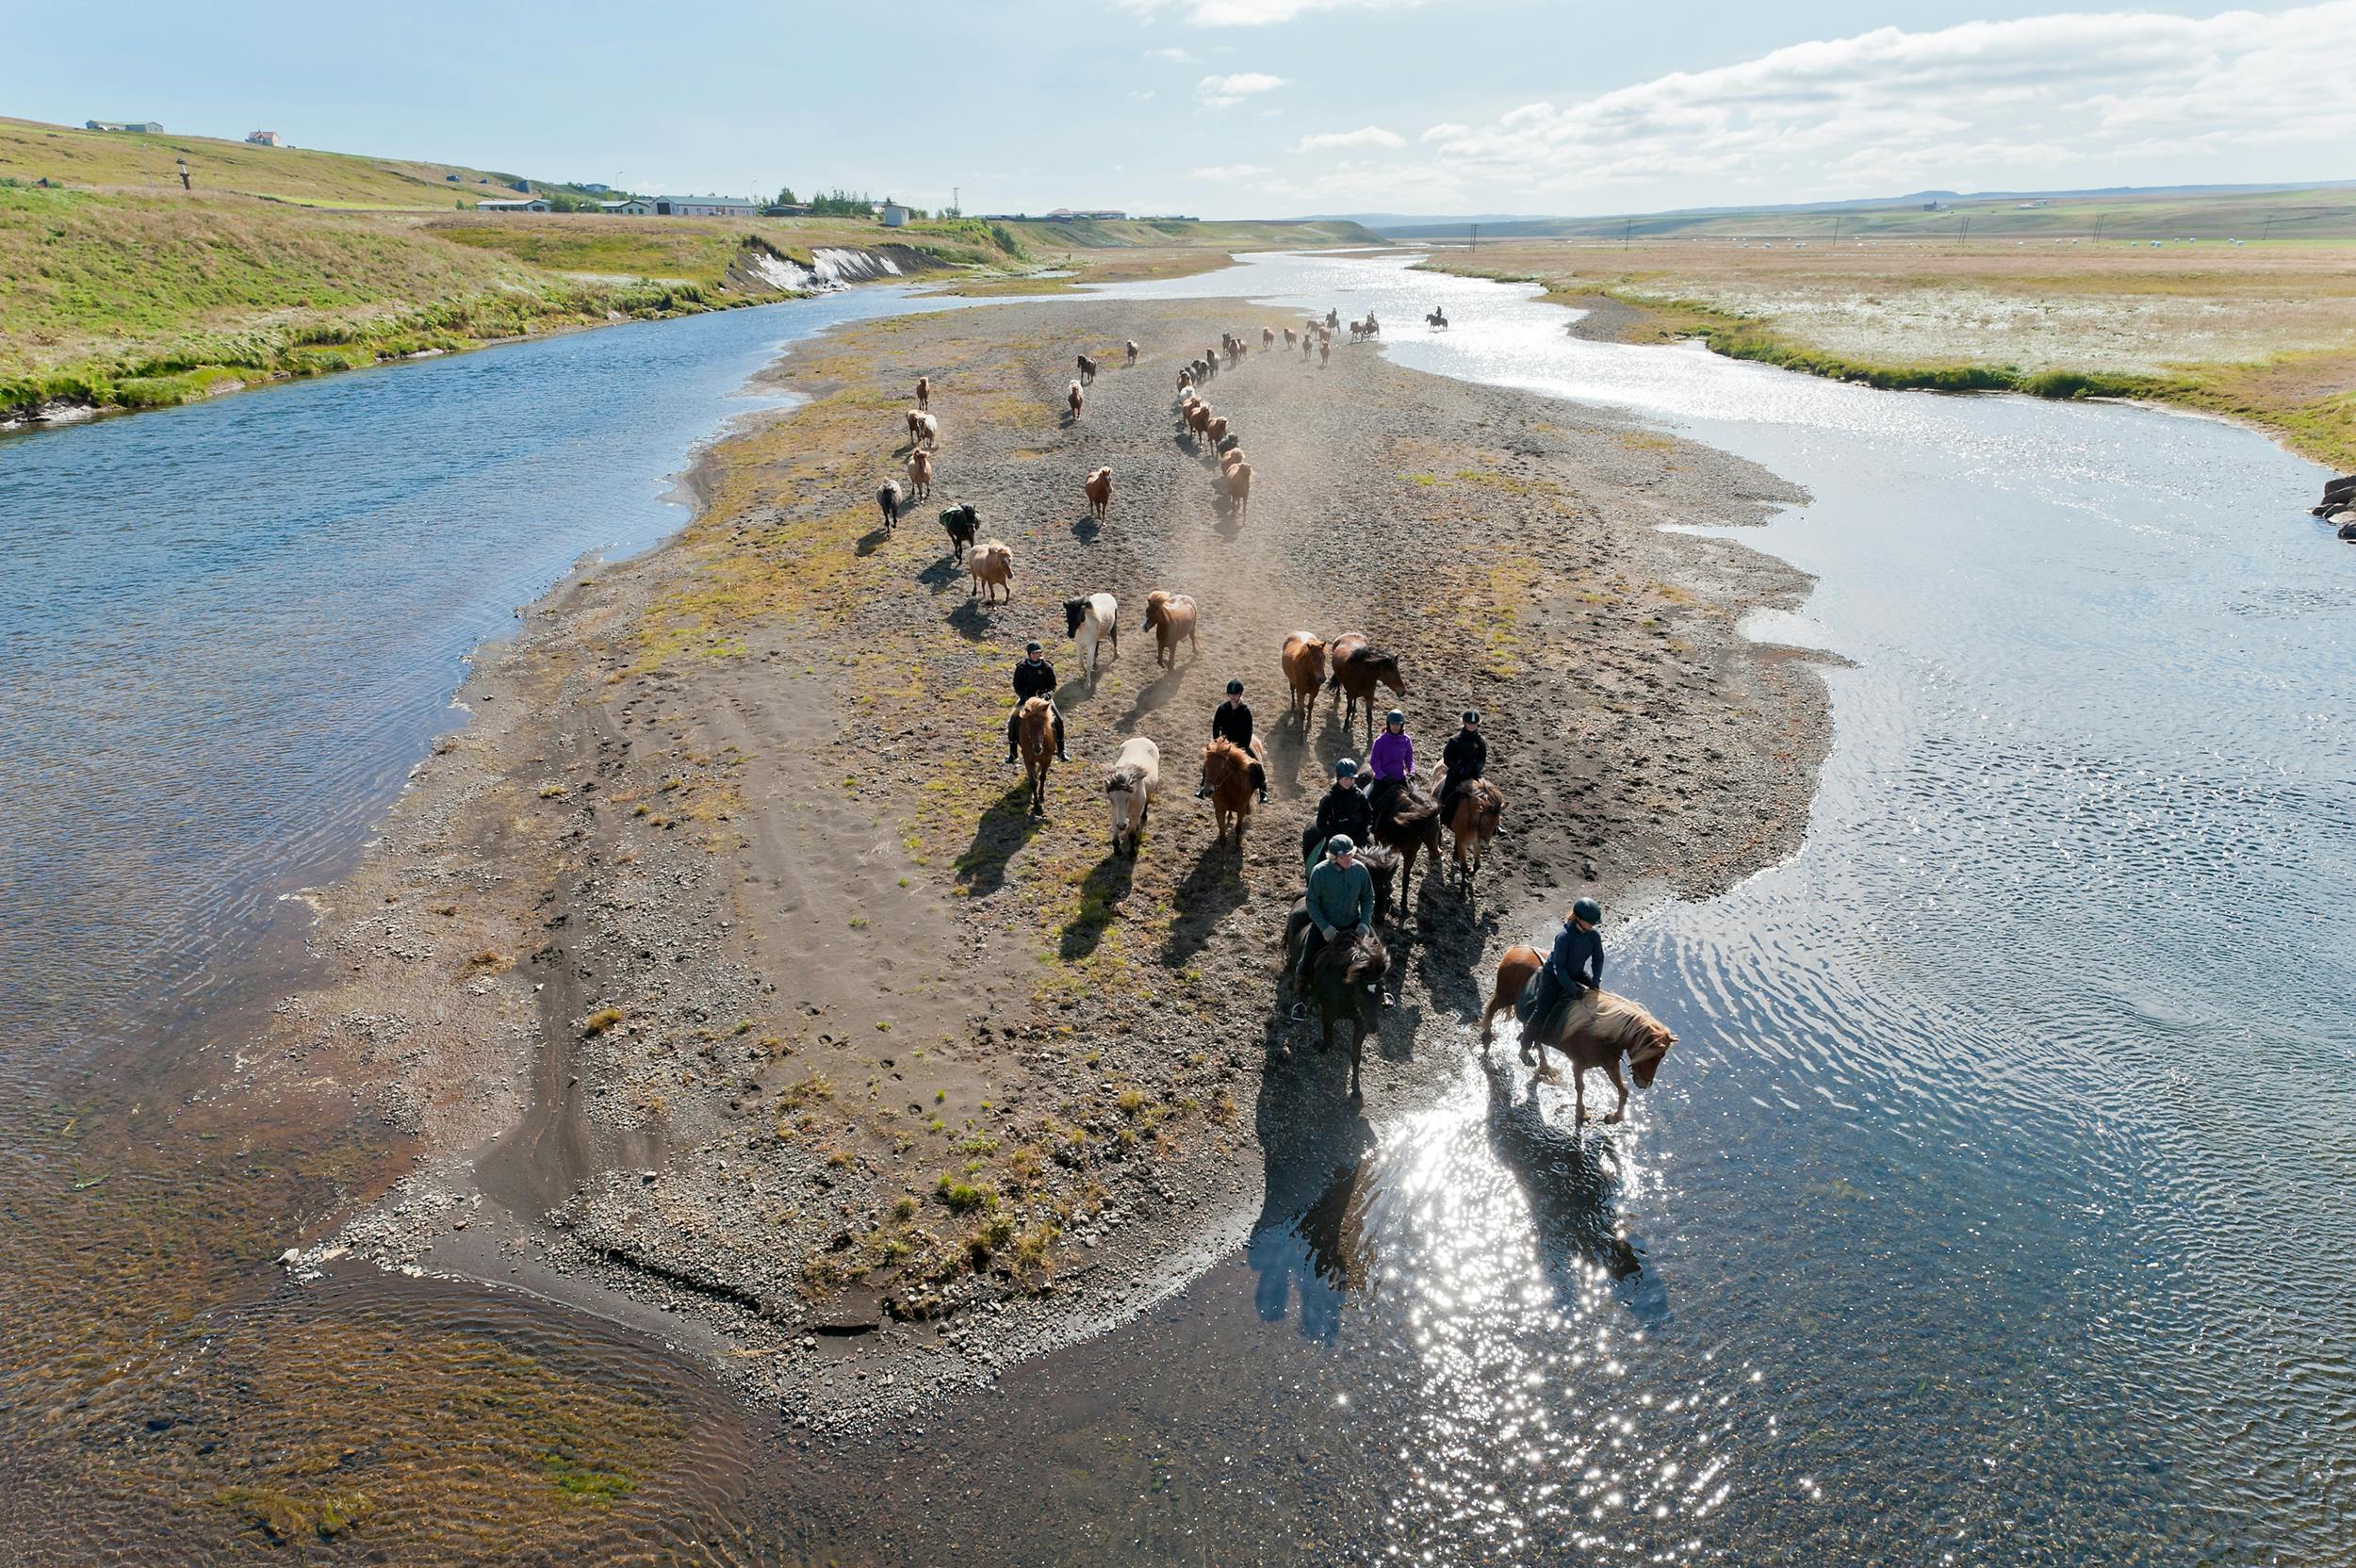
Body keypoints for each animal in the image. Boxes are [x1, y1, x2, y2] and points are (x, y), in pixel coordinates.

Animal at [1018, 696, 1055, 819]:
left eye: (1043, 726)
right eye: (1029, 727)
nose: (1037, 749)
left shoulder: (1047, 759)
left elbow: (1043, 777)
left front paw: (1041, 795)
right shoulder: (1028, 760)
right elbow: (1033, 782)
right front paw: (1037, 805)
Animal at [1103, 734, 1159, 857]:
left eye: (1128, 798)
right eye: (1111, 799)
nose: (1122, 826)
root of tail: (1140, 739)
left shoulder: (1134, 815)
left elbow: (1132, 835)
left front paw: (1132, 853)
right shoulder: (1115, 814)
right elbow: (1115, 835)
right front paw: (1117, 850)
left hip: (1149, 794)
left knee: (1146, 804)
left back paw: (1144, 817)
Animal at [1338, 635, 1404, 758]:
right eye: (1391, 673)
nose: (1403, 691)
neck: (1362, 674)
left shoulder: (1369, 696)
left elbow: (1369, 717)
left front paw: (1370, 736)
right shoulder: (1349, 693)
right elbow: (1348, 710)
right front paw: (1345, 726)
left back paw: (1355, 709)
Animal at [1470, 941, 1677, 1125]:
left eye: (1662, 1056)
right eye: (1652, 1054)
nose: (1644, 1083)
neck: (1601, 1033)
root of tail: (1517, 948)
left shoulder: (1610, 1064)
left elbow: (1623, 1090)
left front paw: (1614, 1117)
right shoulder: (1578, 1064)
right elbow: (1580, 1088)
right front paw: (1581, 1113)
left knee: (1534, 1033)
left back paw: (1543, 1065)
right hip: (1505, 996)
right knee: (1491, 1009)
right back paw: (1487, 1036)